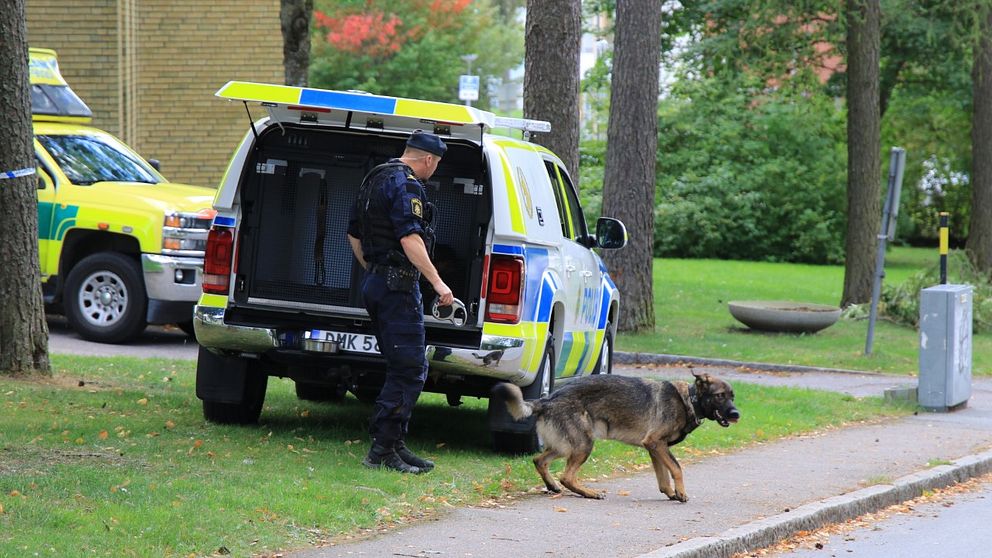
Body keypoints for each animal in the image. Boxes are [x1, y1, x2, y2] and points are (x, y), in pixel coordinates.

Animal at [496, 374, 736, 500]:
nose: (736, 414)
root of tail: (547, 399)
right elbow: (676, 468)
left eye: (732, 396)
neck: (691, 400)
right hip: (584, 444)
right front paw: (681, 493)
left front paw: (670, 492)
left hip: (564, 445)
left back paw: (553, 486)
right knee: (567, 476)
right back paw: (589, 493)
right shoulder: (656, 443)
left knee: (539, 460)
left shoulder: (654, 447)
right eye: (719, 396)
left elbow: (663, 476)